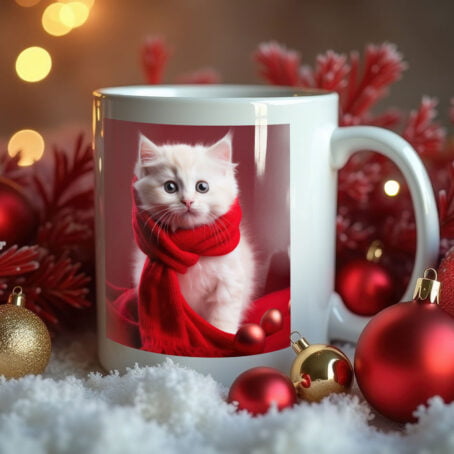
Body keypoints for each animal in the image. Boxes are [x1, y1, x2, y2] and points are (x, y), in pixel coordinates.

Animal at [133, 131, 258, 334]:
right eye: (170, 187)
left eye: (202, 187)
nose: (188, 202)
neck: (193, 249)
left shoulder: (230, 282)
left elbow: (222, 319)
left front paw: (222, 336)